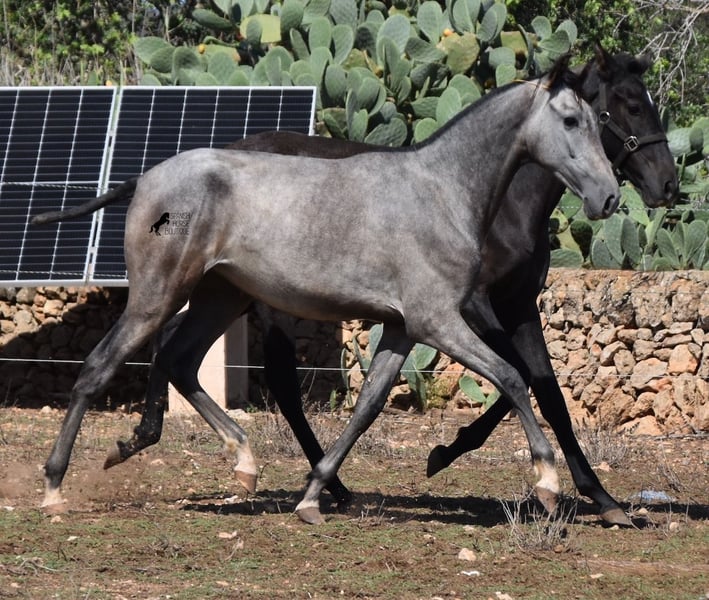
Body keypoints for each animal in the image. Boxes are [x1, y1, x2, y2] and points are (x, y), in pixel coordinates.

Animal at [34, 57, 620, 524]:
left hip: (219, 297)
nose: (610, 197)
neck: (442, 192)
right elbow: (514, 378)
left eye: (600, 122)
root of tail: (146, 178)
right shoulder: (438, 321)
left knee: (178, 361)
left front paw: (315, 495)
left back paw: (243, 464)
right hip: (158, 295)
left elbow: (367, 407)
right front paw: (547, 484)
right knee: (99, 367)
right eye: (571, 120)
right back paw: (55, 488)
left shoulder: (403, 329)